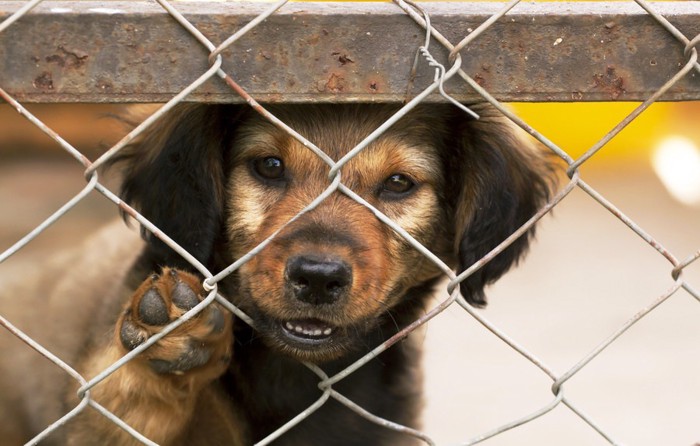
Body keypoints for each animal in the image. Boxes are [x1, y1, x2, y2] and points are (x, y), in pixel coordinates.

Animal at [0, 103, 556, 444]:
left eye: (399, 183)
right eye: (268, 166)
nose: (318, 278)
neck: (287, 375)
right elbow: (121, 404)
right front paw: (165, 344)